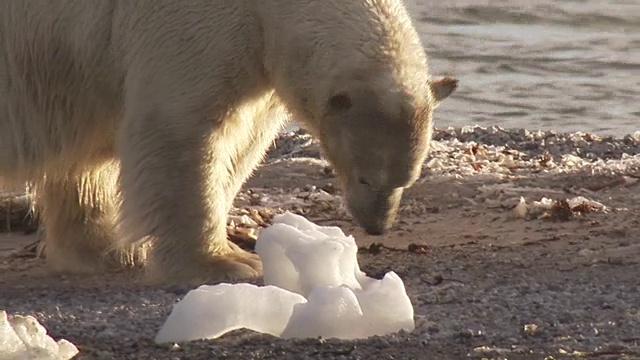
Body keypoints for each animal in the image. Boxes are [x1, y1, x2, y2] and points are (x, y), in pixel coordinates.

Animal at [0, 1, 456, 286]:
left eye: (407, 179)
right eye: (365, 178)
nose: (377, 224)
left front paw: (105, 251)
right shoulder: (194, 27)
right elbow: (180, 127)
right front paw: (228, 262)